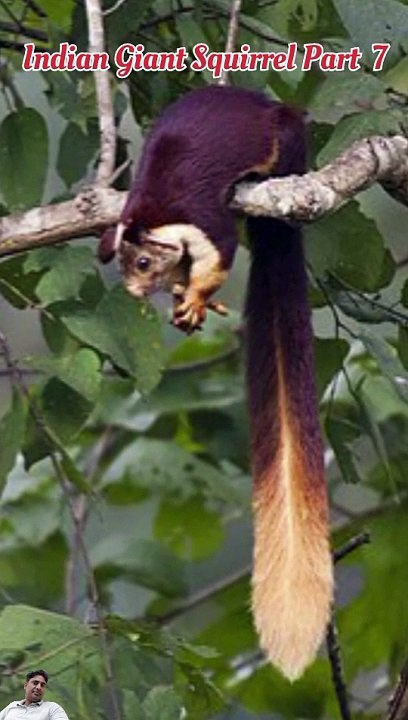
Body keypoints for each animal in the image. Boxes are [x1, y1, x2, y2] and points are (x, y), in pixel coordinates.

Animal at [98, 85, 333, 681]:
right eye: (126, 269)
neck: (155, 211)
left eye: (143, 263)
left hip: (286, 137)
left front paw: (197, 297)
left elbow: (220, 255)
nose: (136, 293)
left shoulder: (205, 223)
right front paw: (188, 302)